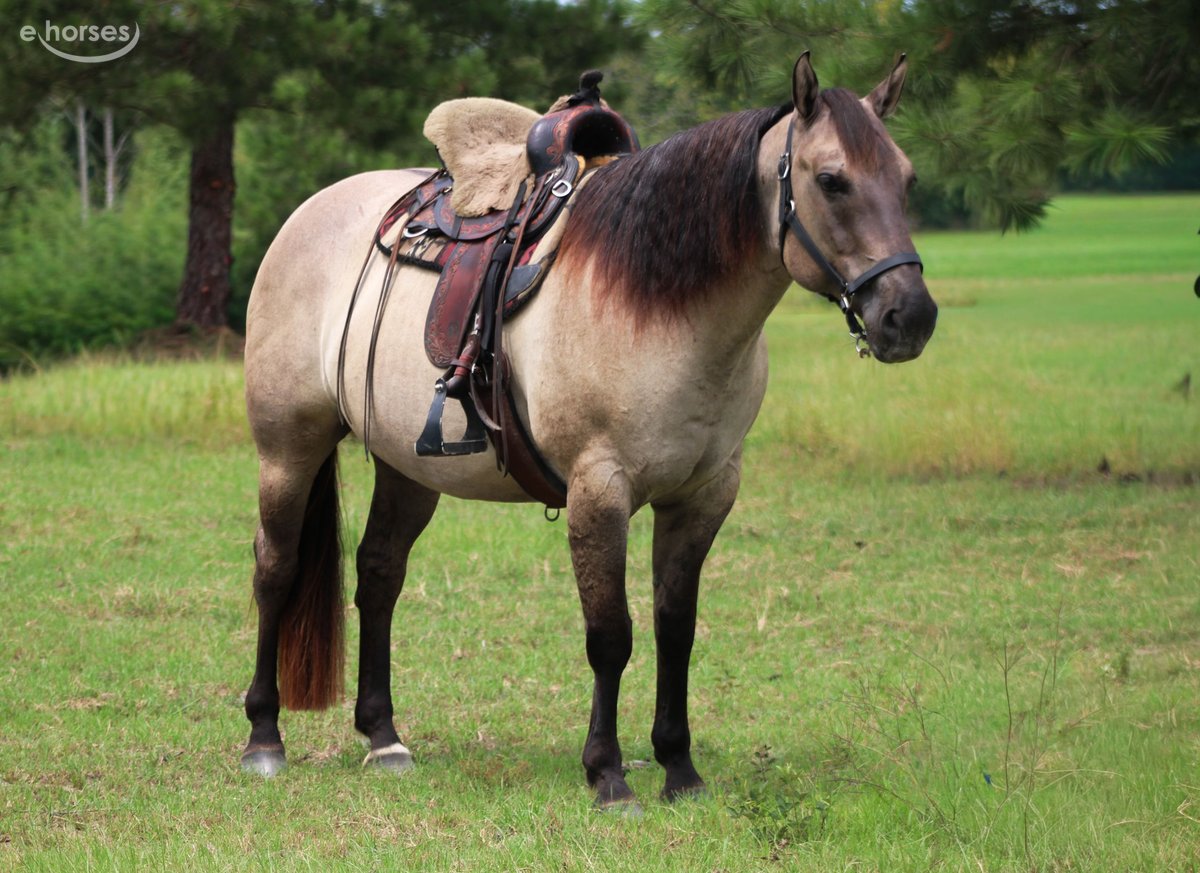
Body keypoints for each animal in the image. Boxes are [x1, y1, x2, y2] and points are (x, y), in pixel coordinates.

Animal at [239, 53, 938, 811]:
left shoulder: (703, 495)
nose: (910, 316)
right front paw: (607, 774)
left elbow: (675, 628)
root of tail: (309, 214)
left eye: (907, 179)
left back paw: (384, 736)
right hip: (288, 449)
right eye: (832, 180)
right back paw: (263, 739)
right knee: (275, 570)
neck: (660, 305)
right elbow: (611, 635)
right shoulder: (598, 490)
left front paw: (679, 767)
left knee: (378, 574)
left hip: (409, 468)